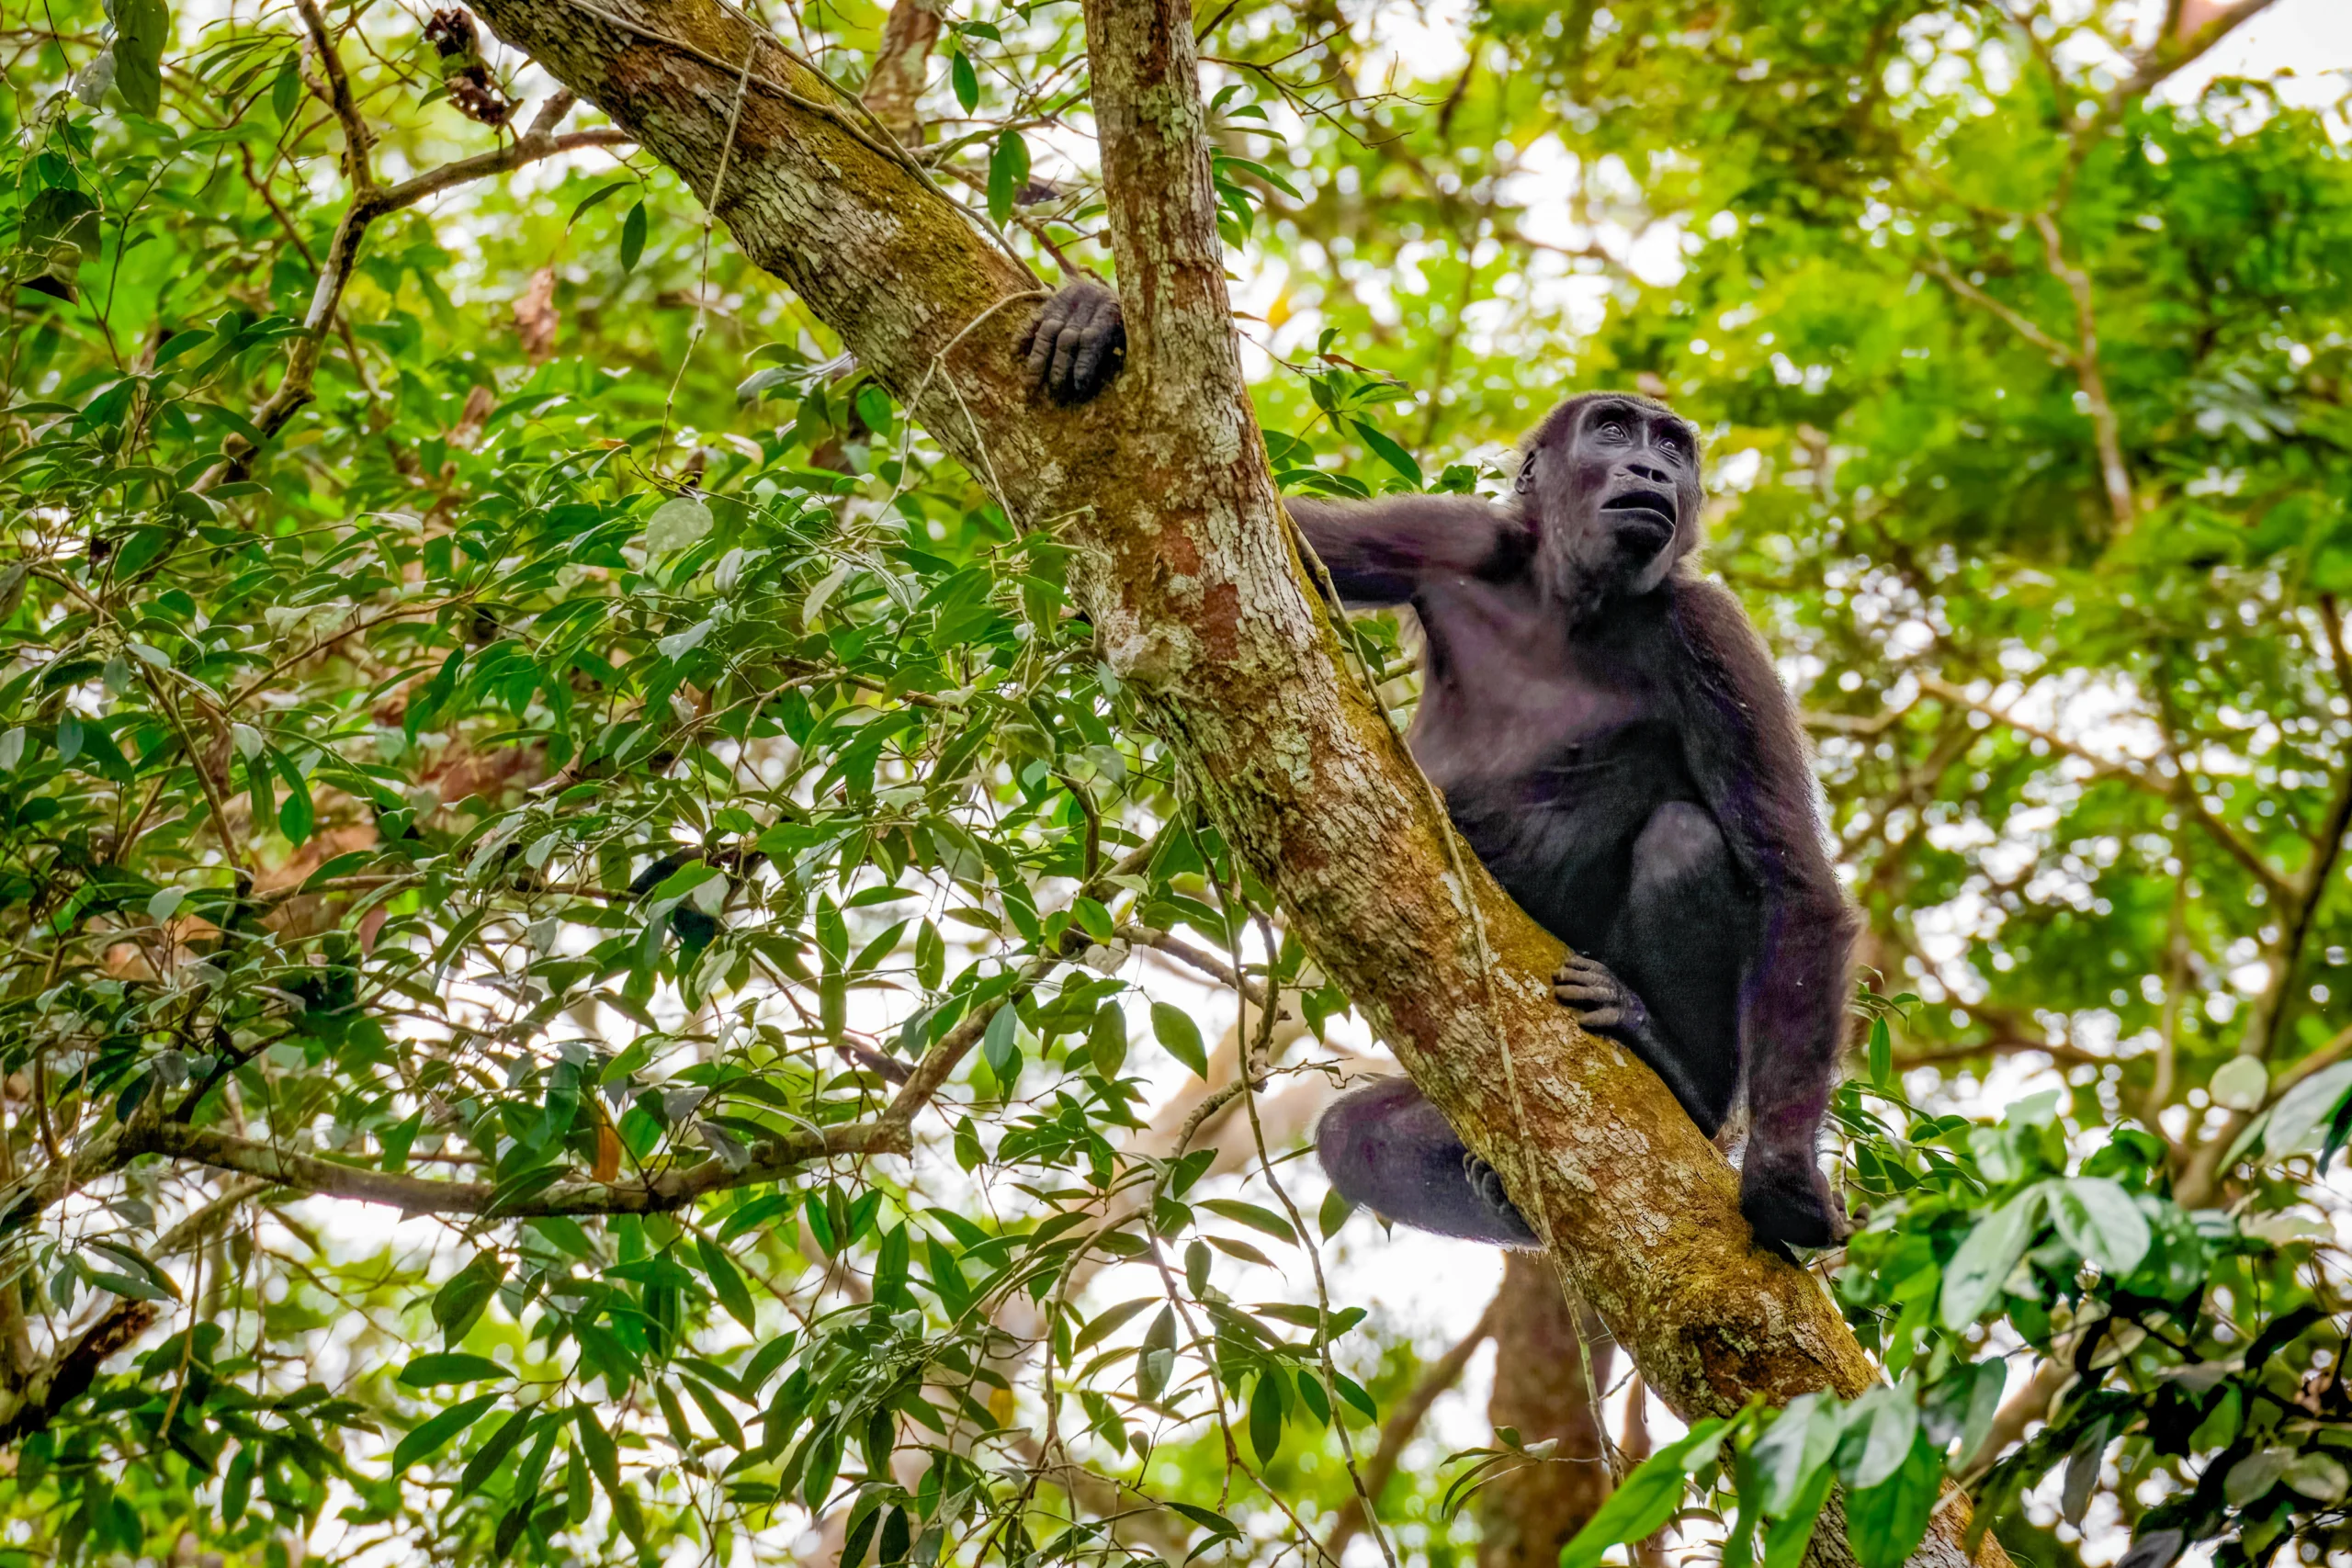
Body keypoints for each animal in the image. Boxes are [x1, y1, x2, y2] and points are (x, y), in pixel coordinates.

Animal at [1022, 281, 1859, 1252]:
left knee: (1685, 840)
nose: (1653, 473)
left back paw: (1675, 1072)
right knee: (1358, 1135)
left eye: (1672, 448)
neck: (1573, 596)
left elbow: (1791, 877)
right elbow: (1246, 535)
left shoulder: (1710, 627)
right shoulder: (1449, 533)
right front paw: (1095, 313)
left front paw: (1781, 1176)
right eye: (1615, 429)